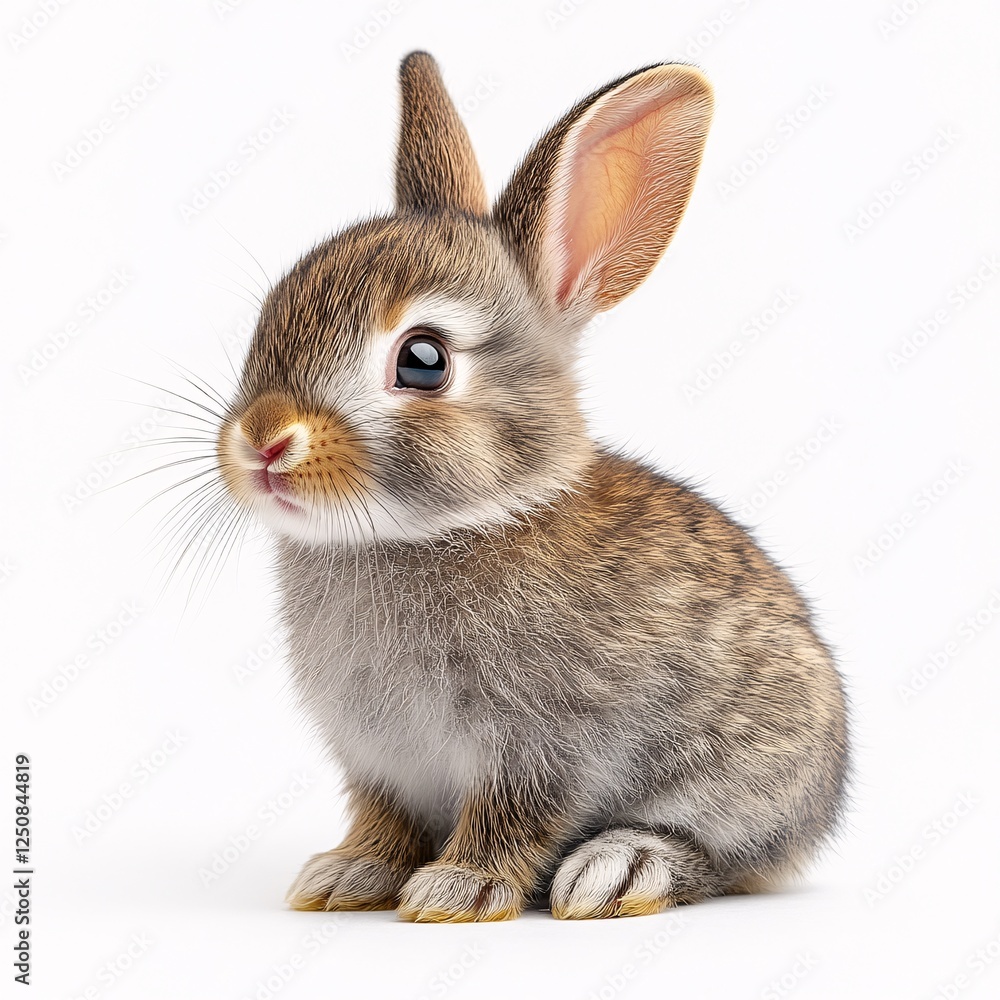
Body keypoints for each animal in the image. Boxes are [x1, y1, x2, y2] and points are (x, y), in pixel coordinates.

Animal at [212, 51, 849, 922]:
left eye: (423, 360)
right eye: (271, 314)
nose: (263, 440)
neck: (442, 528)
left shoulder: (545, 743)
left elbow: (513, 816)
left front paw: (456, 889)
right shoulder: (378, 759)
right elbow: (383, 819)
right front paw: (347, 875)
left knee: (719, 856)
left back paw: (621, 868)